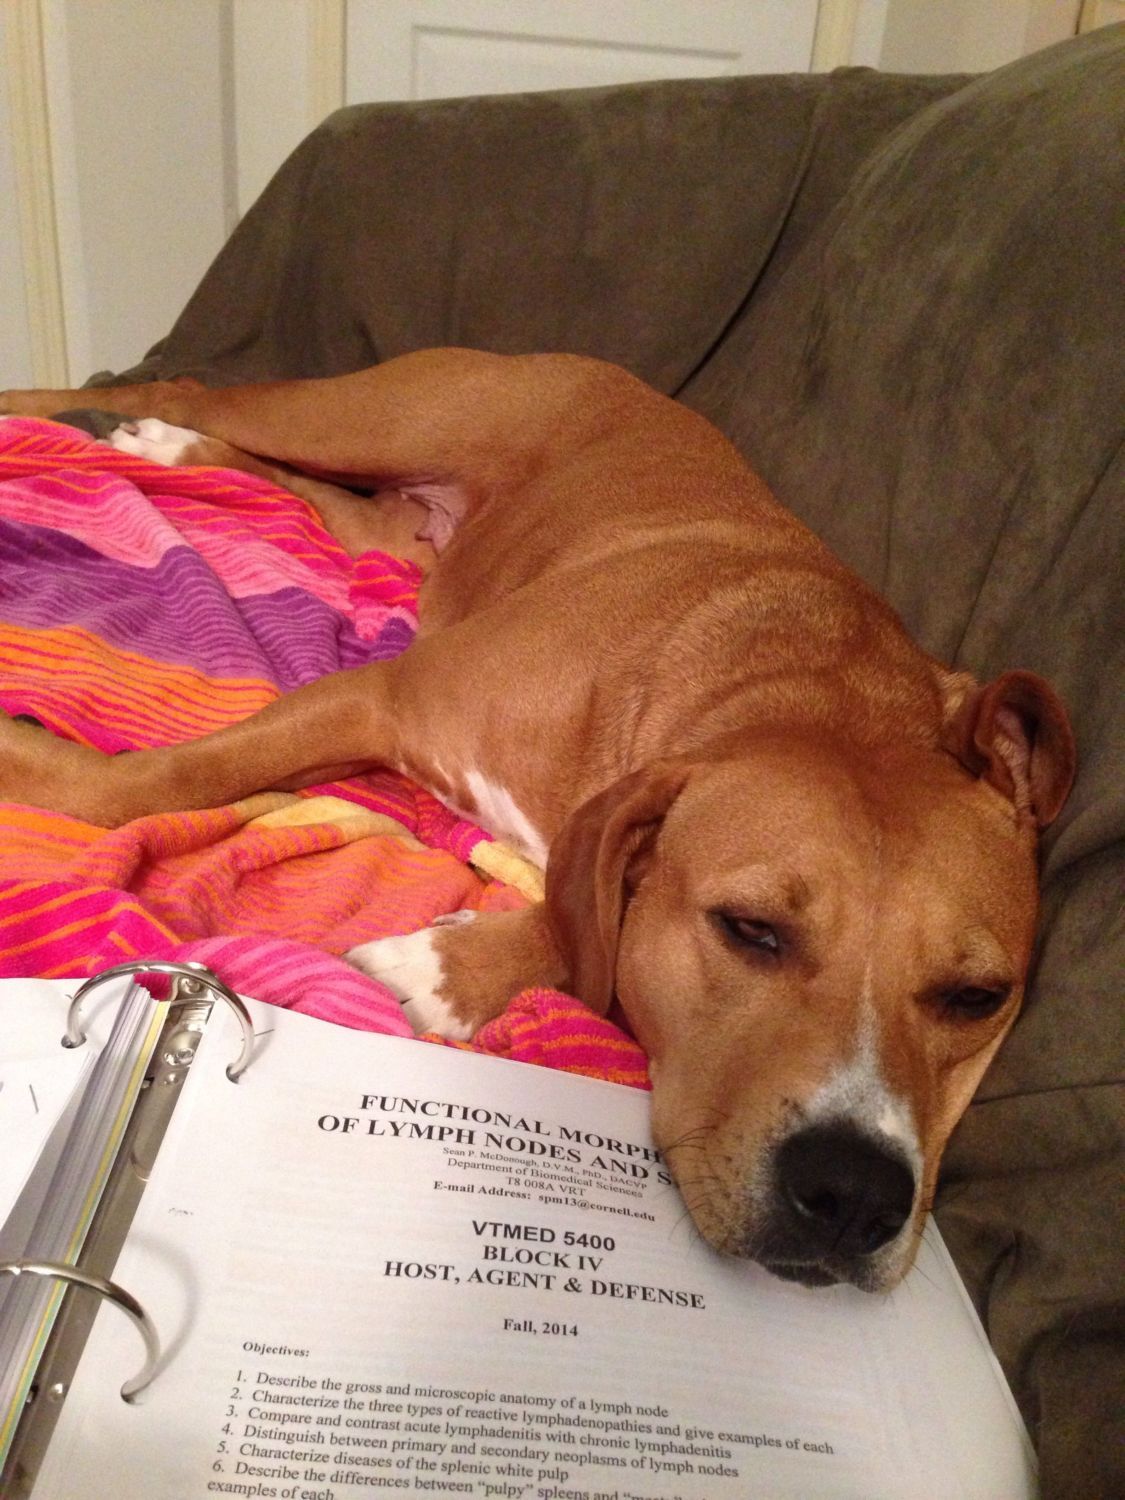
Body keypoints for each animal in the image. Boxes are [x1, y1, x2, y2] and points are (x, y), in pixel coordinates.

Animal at [0, 349, 1075, 1293]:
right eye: (750, 931)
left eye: (976, 998)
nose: (854, 1194)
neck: (810, 697)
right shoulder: (383, 696)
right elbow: (161, 779)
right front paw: (30, 761)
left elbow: (580, 915)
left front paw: (446, 968)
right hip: (373, 416)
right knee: (187, 386)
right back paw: (93, 415)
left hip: (403, 534)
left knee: (337, 505)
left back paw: (179, 451)